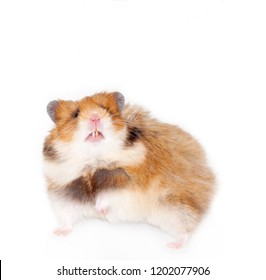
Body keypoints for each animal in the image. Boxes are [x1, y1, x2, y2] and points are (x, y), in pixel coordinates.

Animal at [42, 91, 215, 247]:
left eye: (105, 108)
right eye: (75, 114)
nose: (95, 117)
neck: (94, 161)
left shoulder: (130, 183)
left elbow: (107, 195)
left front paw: (100, 210)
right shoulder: (65, 192)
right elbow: (68, 216)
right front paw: (57, 233)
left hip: (176, 207)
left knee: (186, 230)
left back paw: (173, 246)